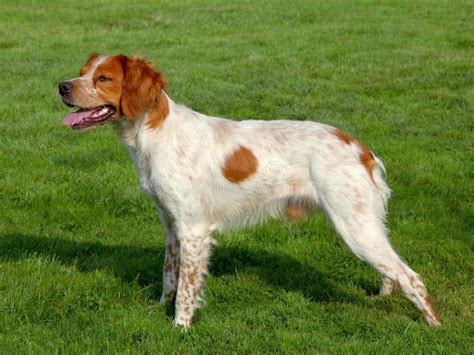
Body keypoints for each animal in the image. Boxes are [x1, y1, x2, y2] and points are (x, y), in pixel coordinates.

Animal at [59, 52, 440, 328]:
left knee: (412, 277)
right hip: (363, 225)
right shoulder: (171, 225)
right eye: (82, 72)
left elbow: (187, 288)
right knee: (391, 272)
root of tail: (360, 148)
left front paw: (179, 327)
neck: (154, 134)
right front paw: (160, 308)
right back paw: (383, 298)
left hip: (354, 226)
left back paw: (434, 326)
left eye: (103, 78)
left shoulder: (193, 230)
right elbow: (170, 275)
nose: (62, 86)